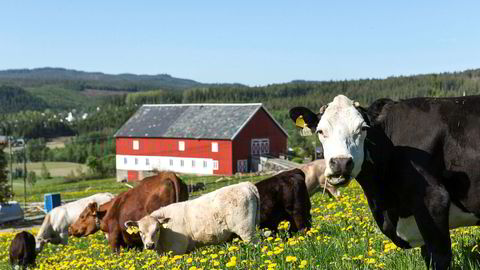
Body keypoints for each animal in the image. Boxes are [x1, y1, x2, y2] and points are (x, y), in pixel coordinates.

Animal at [124, 181, 258, 255]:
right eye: (140, 231)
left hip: (247, 231)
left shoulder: (177, 250)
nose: (150, 245)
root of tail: (246, 184)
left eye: (157, 229)